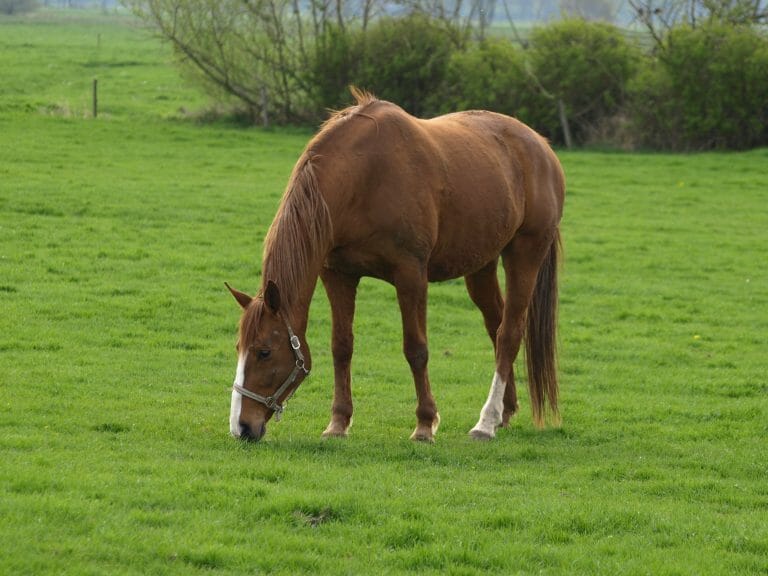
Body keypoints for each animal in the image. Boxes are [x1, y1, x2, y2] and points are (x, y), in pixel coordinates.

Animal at [226, 89, 565, 442]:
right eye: (239, 347)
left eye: (264, 351)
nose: (241, 427)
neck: (363, 178)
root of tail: (541, 147)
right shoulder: (338, 275)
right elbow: (341, 347)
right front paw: (338, 422)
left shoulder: (411, 275)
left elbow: (416, 349)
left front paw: (425, 424)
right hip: (482, 265)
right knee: (496, 326)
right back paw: (504, 411)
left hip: (525, 253)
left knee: (509, 333)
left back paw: (485, 423)